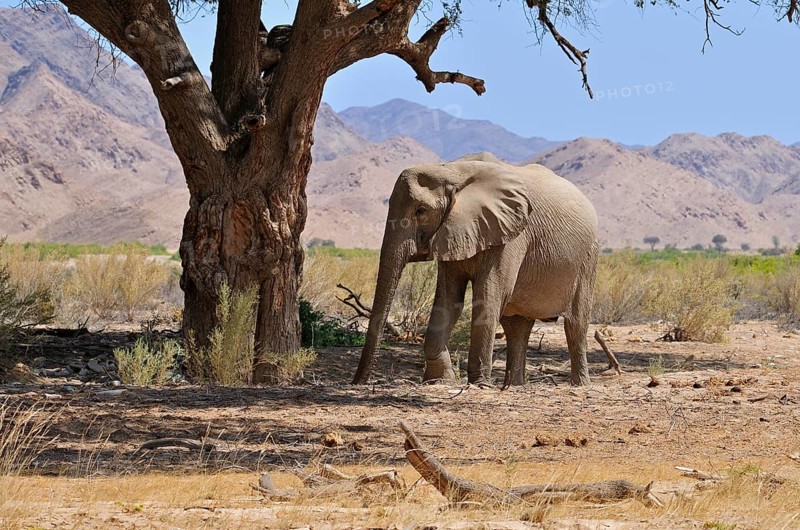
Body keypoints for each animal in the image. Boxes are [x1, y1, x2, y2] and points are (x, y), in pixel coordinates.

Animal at [352, 152, 599, 387]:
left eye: (420, 211)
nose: (359, 382)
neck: (453, 171)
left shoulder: (511, 233)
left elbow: (488, 295)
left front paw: (479, 384)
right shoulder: (452, 231)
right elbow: (449, 299)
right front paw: (439, 380)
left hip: (588, 260)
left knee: (575, 324)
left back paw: (580, 384)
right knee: (517, 328)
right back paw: (515, 386)